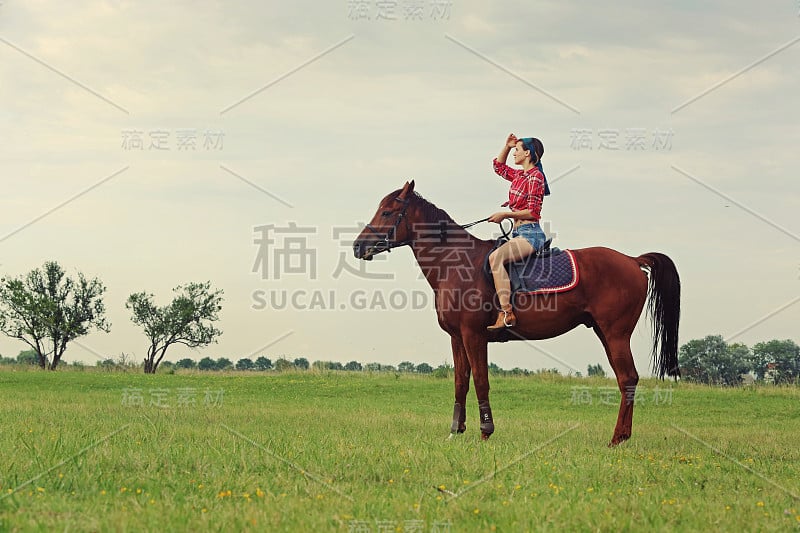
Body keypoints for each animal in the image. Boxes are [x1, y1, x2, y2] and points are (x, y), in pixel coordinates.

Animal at [354, 182, 680, 444]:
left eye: (387, 212)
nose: (358, 246)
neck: (456, 264)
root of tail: (632, 260)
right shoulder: (457, 337)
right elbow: (460, 383)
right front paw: (455, 431)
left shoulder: (474, 335)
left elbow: (481, 381)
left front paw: (486, 431)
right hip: (604, 332)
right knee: (627, 379)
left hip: (616, 334)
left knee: (628, 379)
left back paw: (617, 438)